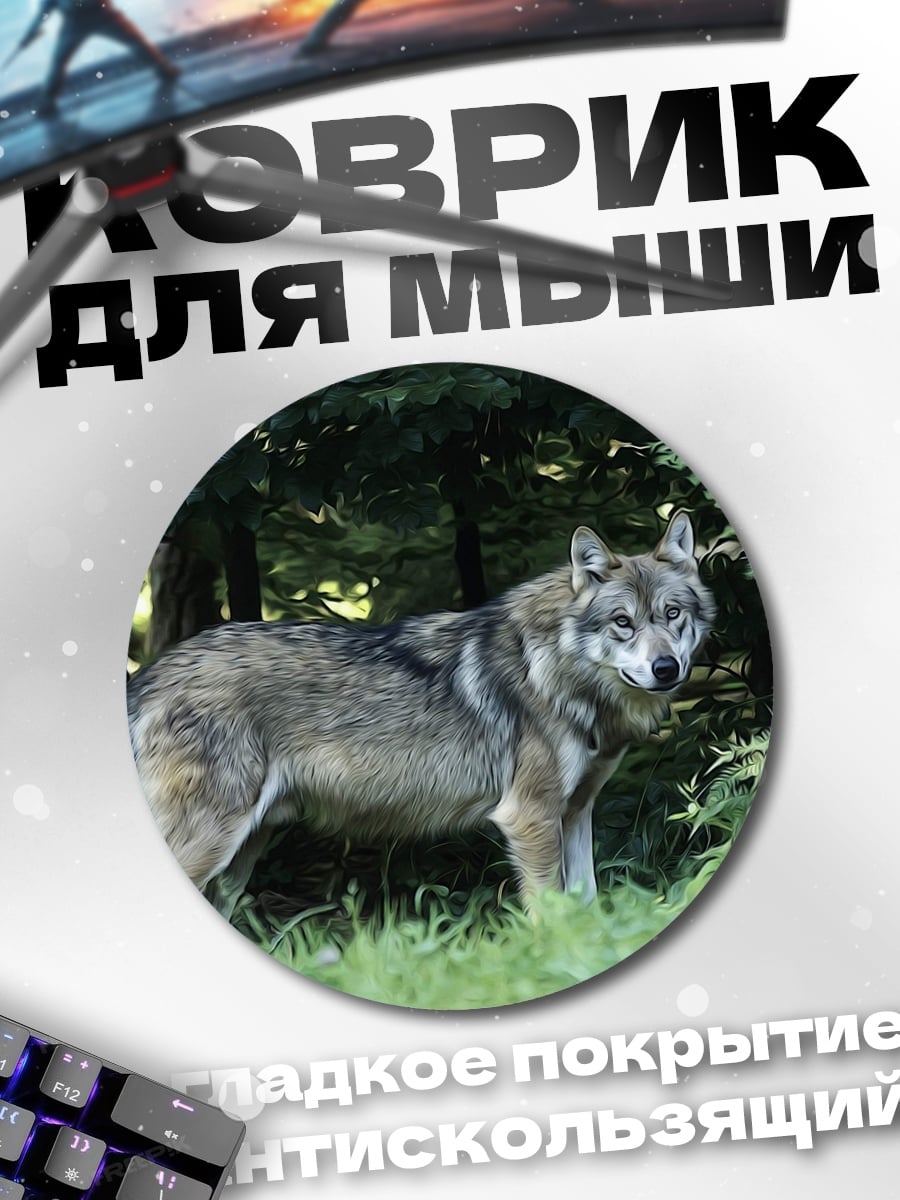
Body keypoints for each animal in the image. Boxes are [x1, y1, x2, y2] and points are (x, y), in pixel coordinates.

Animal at [127, 511, 715, 913]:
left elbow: (586, 907)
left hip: (242, 853)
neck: (556, 671)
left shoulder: (575, 813)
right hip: (214, 840)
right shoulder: (529, 817)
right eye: (623, 622)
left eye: (672, 614)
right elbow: (551, 915)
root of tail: (152, 672)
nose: (666, 668)